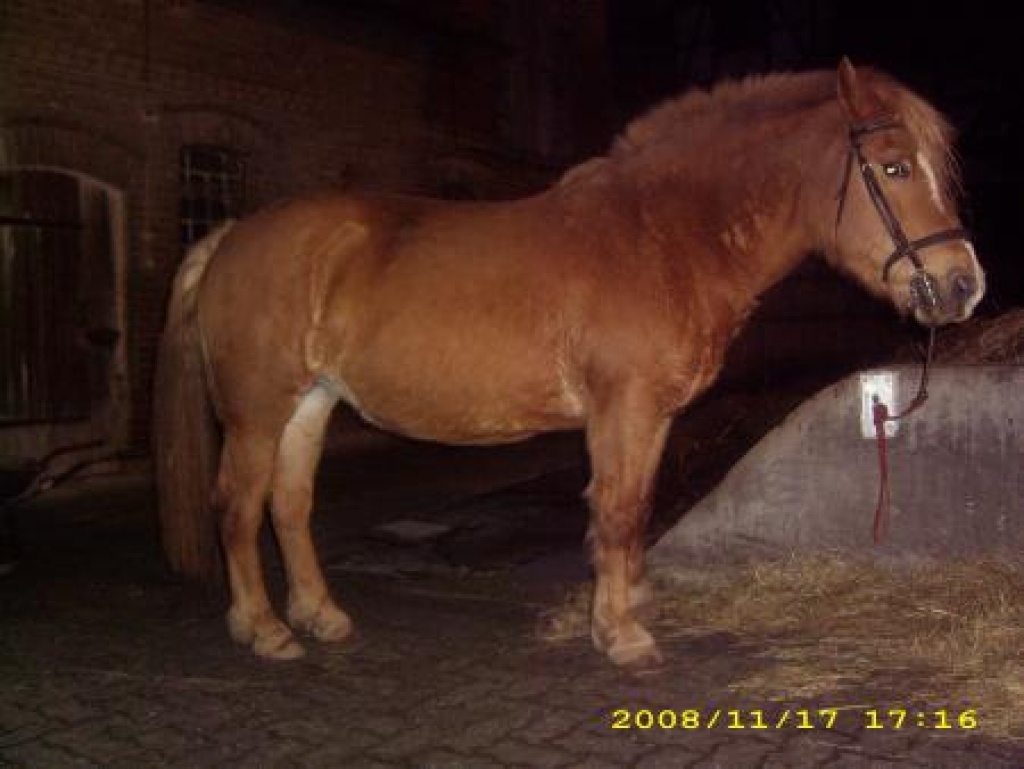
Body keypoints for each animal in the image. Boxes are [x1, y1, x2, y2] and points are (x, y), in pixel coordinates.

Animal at [154, 59, 985, 669]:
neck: (666, 236)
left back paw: (321, 615)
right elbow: (614, 512)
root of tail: (230, 235)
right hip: (256, 411)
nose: (964, 284)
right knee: (237, 505)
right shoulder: (624, 407)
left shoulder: (653, 416)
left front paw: (630, 607)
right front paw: (620, 636)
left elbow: (637, 508)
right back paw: (263, 629)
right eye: (895, 167)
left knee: (288, 505)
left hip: (311, 403)